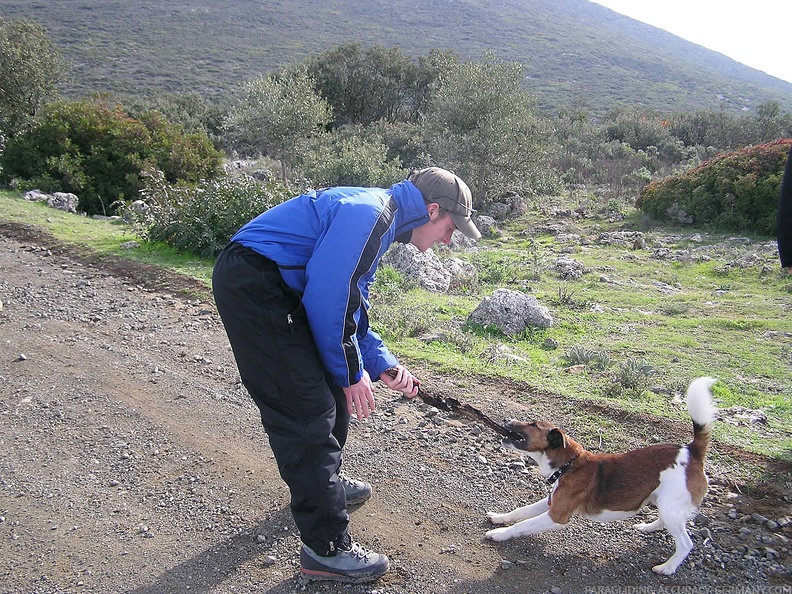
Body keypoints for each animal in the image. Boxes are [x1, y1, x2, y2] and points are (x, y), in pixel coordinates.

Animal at [486, 374, 720, 572]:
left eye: (533, 424)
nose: (506, 419)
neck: (569, 464)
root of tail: (692, 450)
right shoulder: (552, 501)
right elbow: (521, 512)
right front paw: (500, 518)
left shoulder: (557, 515)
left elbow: (523, 524)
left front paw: (500, 534)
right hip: (663, 501)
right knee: (665, 522)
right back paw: (647, 527)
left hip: (670, 506)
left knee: (685, 544)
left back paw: (667, 568)